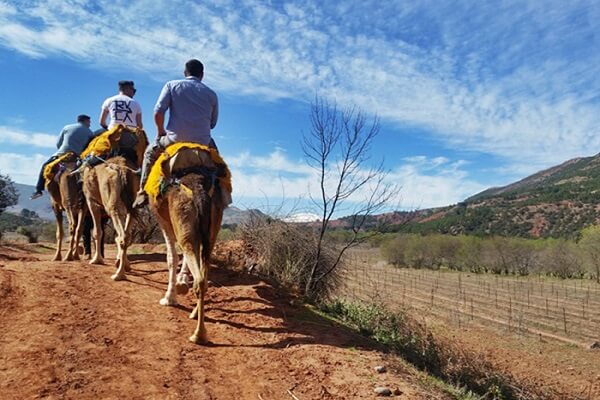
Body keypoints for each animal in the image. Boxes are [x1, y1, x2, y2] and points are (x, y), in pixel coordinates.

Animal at [149, 148, 226, 344]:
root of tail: (199, 190)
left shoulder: (164, 222)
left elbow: (171, 258)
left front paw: (169, 298)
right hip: (211, 230)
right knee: (203, 274)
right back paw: (195, 316)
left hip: (183, 220)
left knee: (198, 276)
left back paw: (198, 334)